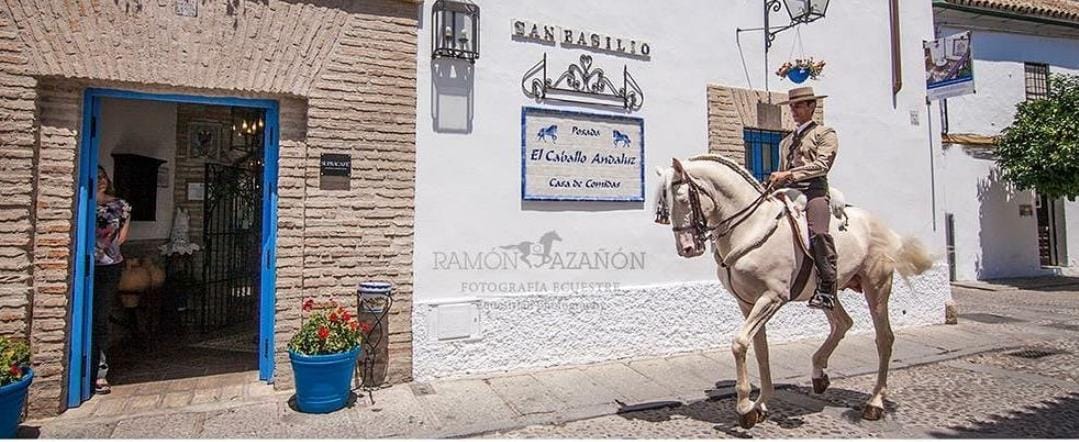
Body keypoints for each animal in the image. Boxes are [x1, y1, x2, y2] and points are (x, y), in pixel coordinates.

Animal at [651, 154, 932, 429]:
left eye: (683, 199)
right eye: (665, 206)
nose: (686, 248)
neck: (749, 227)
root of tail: (882, 225)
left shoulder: (772, 297)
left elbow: (740, 343)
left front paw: (744, 407)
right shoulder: (748, 303)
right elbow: (760, 350)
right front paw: (760, 405)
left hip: (877, 287)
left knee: (884, 339)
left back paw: (874, 403)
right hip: (828, 291)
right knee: (842, 323)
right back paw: (819, 375)